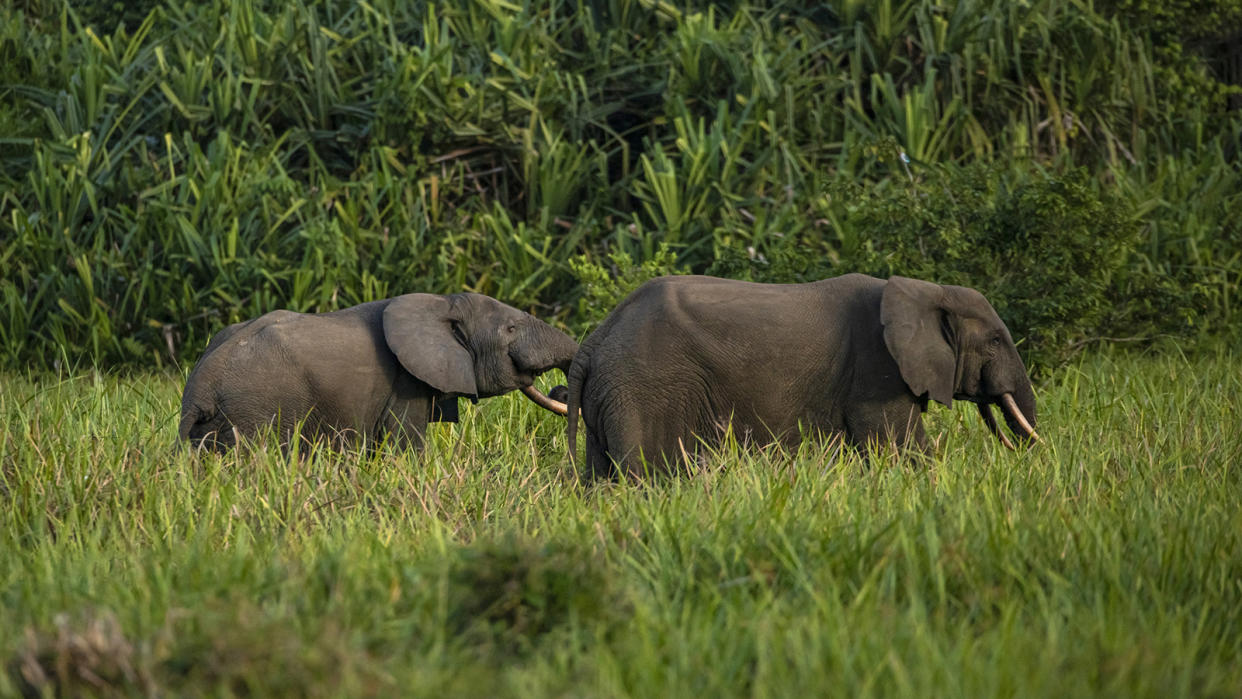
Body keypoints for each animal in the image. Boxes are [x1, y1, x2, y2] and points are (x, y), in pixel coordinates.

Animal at [180, 291, 576, 451]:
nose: (559, 390)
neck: (442, 303)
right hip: (255, 413)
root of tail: (199, 391)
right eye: (510, 329)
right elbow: (406, 446)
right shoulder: (405, 383)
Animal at [568, 270, 1038, 479]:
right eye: (996, 340)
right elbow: (901, 448)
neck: (924, 289)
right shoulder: (876, 372)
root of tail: (592, 344)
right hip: (643, 391)